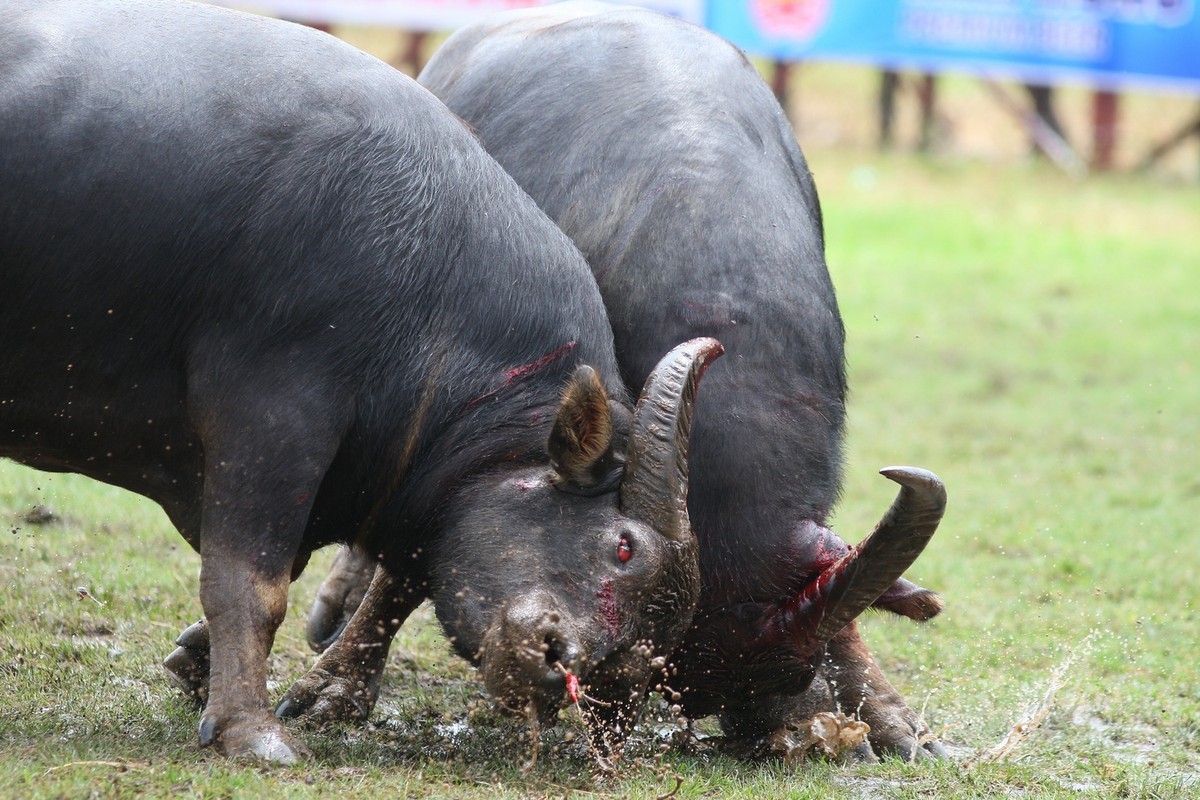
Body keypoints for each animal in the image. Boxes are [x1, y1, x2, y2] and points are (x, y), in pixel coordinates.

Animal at [0, 0, 720, 762]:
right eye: (623, 547)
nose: (570, 671)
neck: (431, 301)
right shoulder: (274, 414)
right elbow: (251, 585)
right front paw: (252, 730)